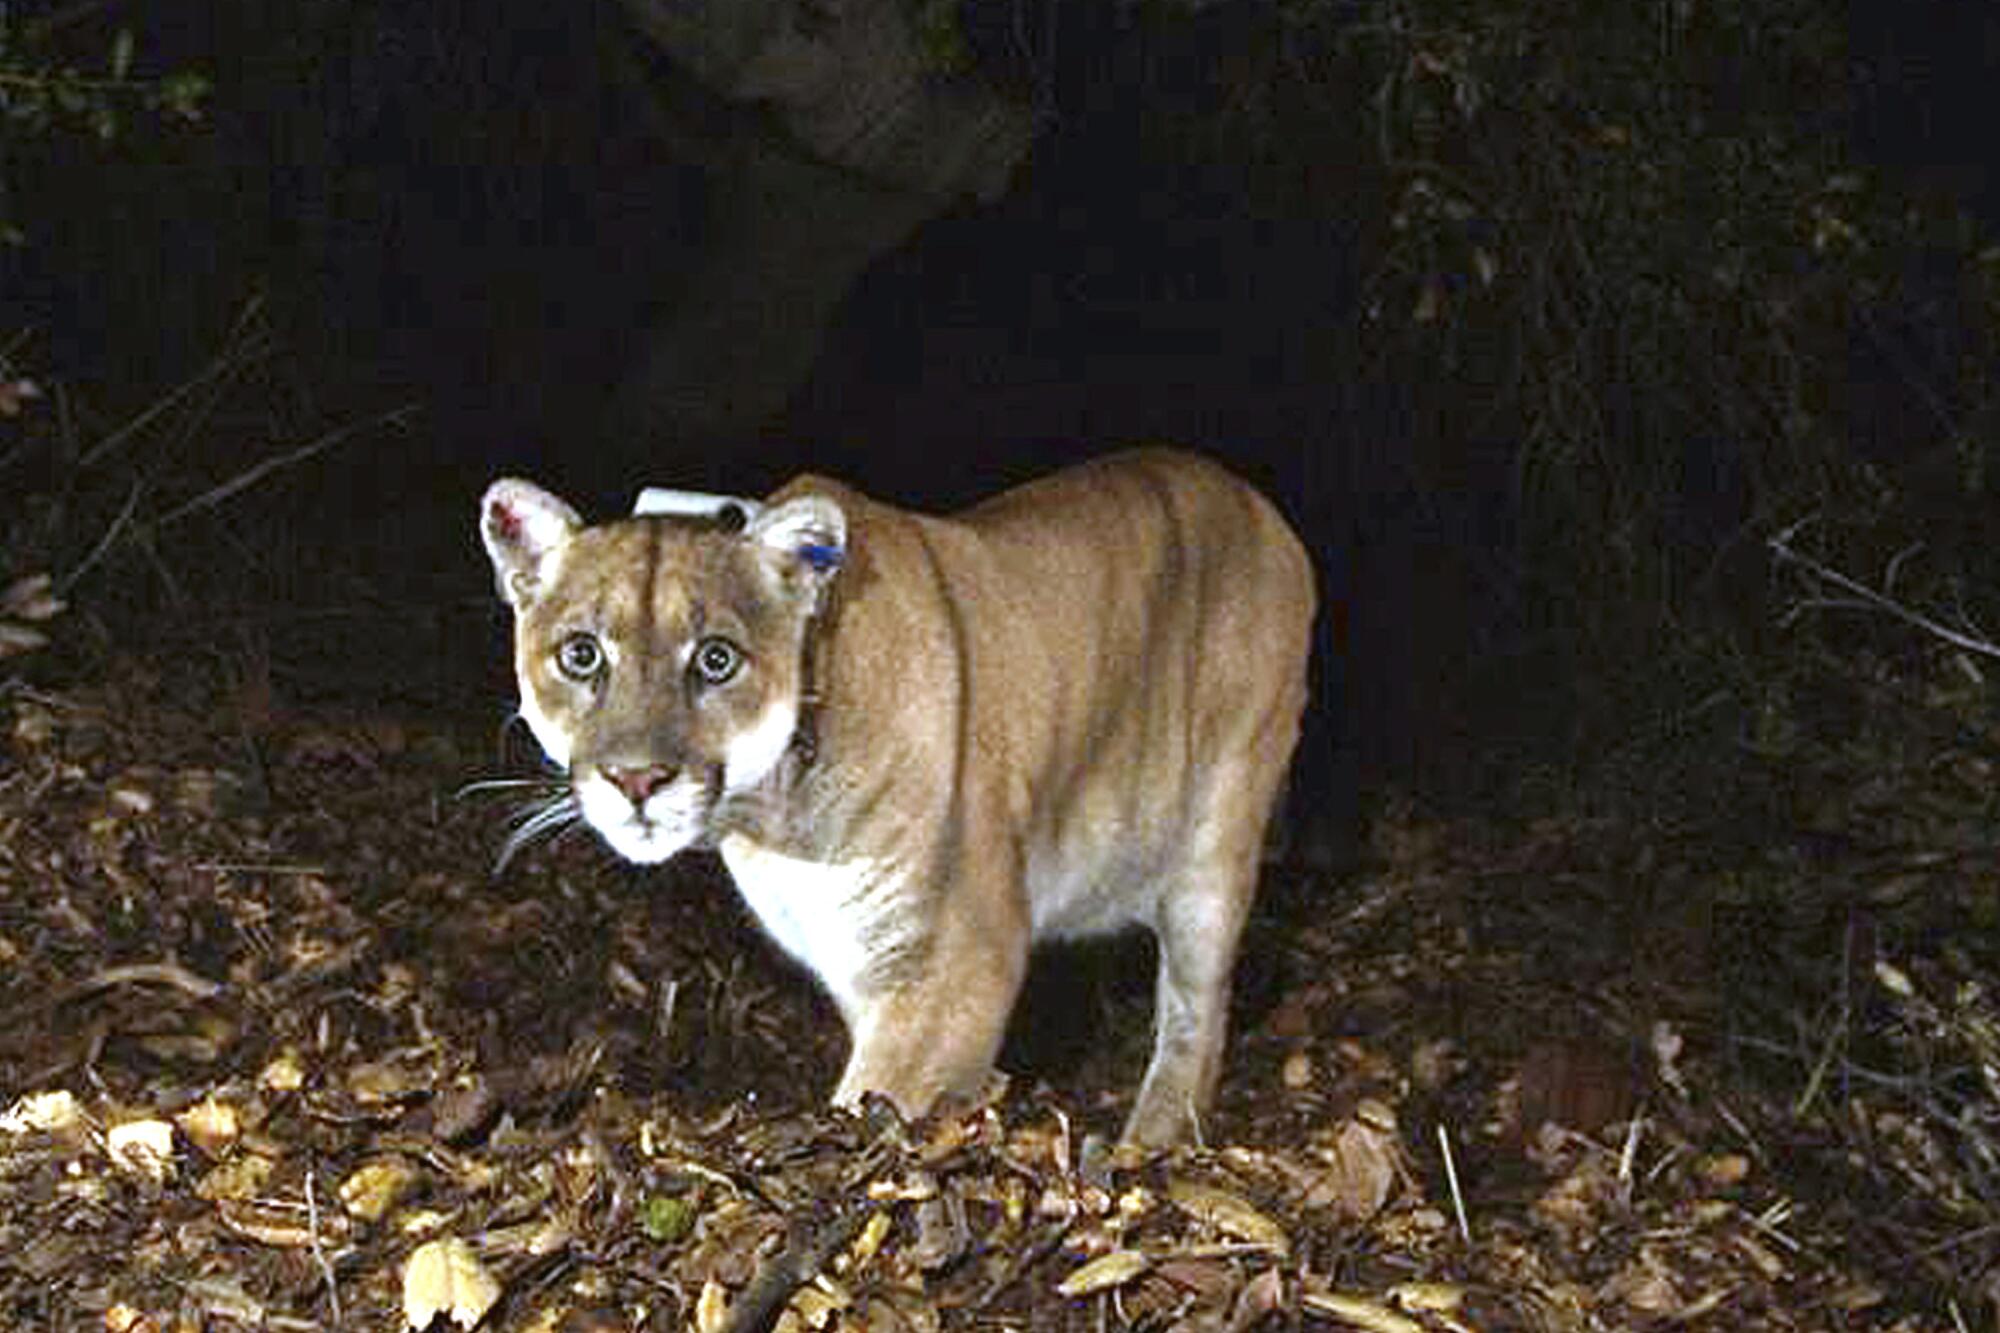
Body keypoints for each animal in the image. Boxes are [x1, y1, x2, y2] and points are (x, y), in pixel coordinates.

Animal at [482, 448, 1312, 1144]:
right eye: (581, 654)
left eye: (716, 659)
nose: (637, 779)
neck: (776, 820)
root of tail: (1255, 499)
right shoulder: (858, 961)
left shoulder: (956, 961)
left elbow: (876, 1099)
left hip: (1217, 838)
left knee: (1198, 1011)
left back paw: (1153, 1138)